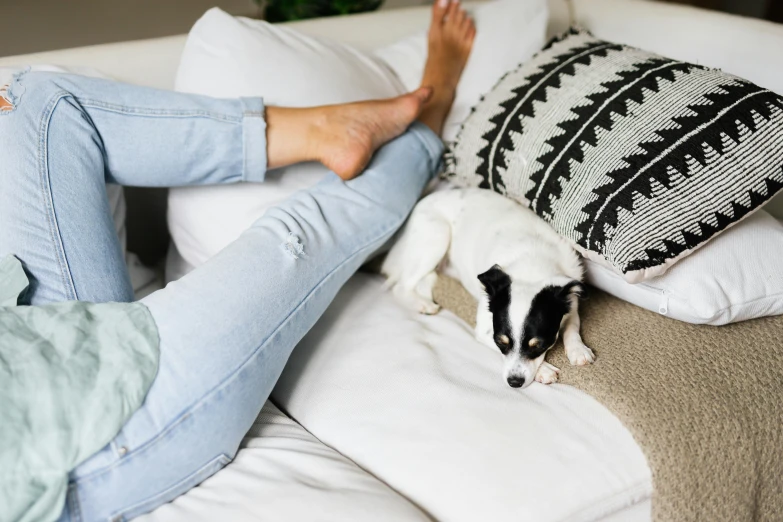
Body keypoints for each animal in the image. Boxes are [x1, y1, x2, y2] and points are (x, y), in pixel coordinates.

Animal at [382, 187, 596, 386]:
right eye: (501, 342)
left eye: (538, 345)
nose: (514, 382)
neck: (532, 264)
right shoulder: (485, 332)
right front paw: (544, 370)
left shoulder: (570, 303)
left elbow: (572, 327)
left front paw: (578, 350)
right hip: (436, 236)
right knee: (401, 286)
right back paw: (422, 304)